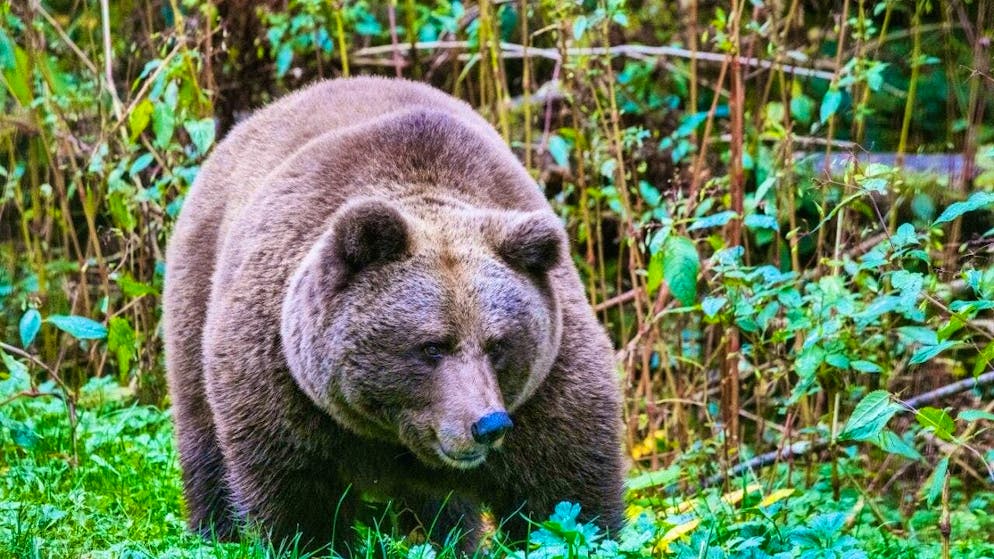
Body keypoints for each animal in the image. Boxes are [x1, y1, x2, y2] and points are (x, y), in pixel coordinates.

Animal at [163, 76, 625, 553]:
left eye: (498, 345)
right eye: (432, 346)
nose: (488, 424)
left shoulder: (547, 383)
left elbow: (563, 491)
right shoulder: (281, 377)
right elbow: (297, 494)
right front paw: (312, 539)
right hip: (197, 286)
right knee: (202, 432)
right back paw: (213, 529)